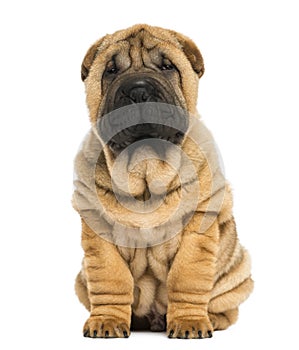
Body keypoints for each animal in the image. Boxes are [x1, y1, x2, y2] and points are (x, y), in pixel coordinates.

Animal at [74, 23, 254, 340]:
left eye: (167, 66)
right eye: (110, 70)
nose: (138, 90)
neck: (145, 167)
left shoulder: (198, 229)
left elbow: (187, 276)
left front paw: (190, 323)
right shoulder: (98, 232)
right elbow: (110, 278)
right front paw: (107, 321)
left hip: (238, 271)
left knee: (225, 307)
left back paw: (211, 318)